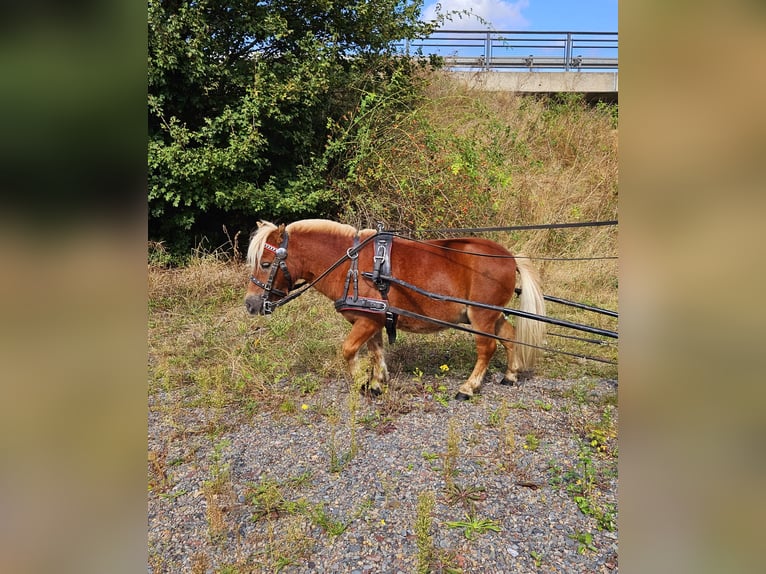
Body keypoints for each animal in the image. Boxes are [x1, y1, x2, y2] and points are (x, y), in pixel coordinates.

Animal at [243, 219, 548, 400]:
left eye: (266, 264)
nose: (250, 304)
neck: (352, 265)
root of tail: (510, 257)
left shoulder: (366, 321)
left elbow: (349, 350)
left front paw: (361, 383)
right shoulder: (372, 320)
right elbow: (376, 351)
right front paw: (377, 382)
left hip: (481, 315)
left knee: (487, 348)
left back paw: (468, 388)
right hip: (491, 314)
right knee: (508, 335)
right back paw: (510, 375)